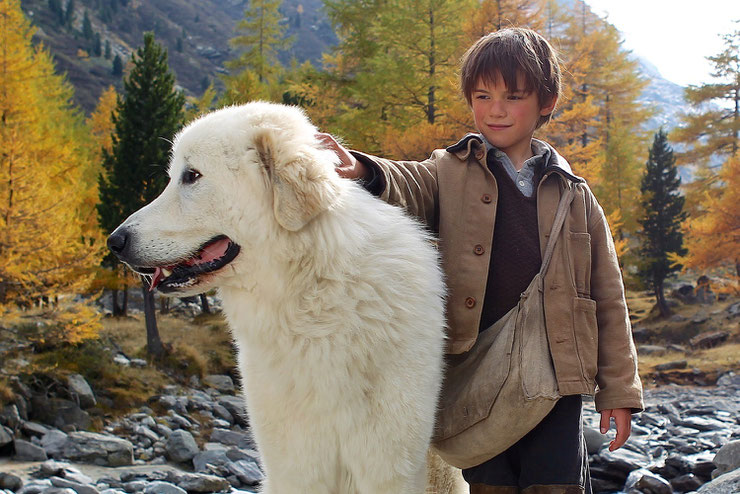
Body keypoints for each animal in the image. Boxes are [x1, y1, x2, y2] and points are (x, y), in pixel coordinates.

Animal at [107, 102, 466, 492]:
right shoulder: (294, 462)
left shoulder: (388, 463)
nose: (115, 241)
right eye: (175, 176)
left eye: (191, 176)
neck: (311, 301)